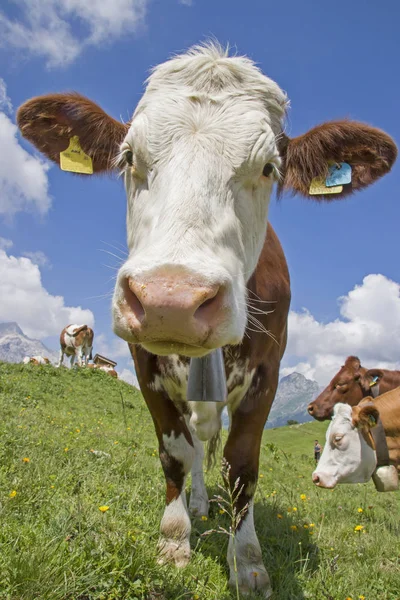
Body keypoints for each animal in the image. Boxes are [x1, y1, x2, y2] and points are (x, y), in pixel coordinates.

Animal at [16, 44, 396, 596]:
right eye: (128, 157)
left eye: (269, 167)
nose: (171, 298)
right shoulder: (145, 365)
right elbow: (176, 451)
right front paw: (174, 541)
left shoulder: (267, 373)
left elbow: (241, 465)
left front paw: (249, 562)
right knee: (196, 444)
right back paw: (196, 504)